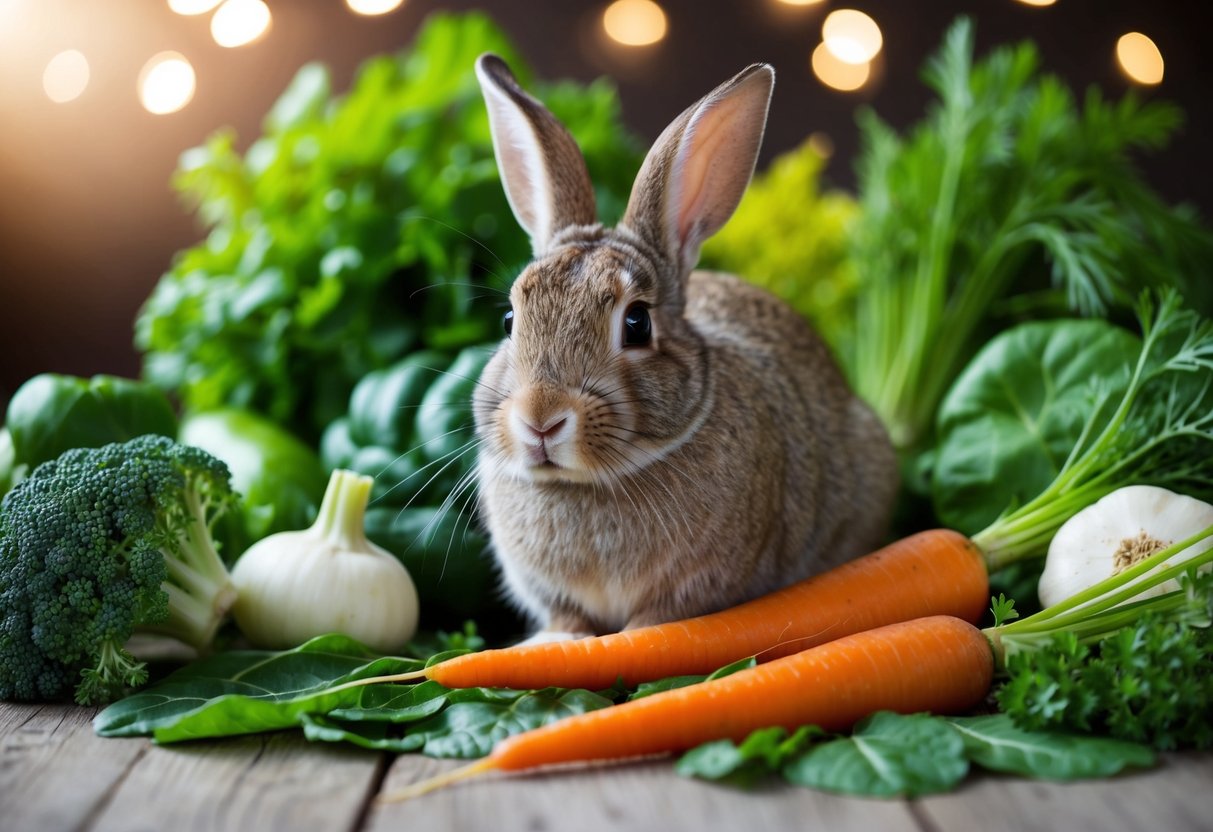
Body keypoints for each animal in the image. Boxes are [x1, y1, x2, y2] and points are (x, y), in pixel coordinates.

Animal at [470, 54, 898, 642]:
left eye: (636, 323)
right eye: (511, 319)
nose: (540, 419)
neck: (588, 483)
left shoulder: (696, 586)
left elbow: (655, 623)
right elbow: (568, 618)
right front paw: (560, 640)